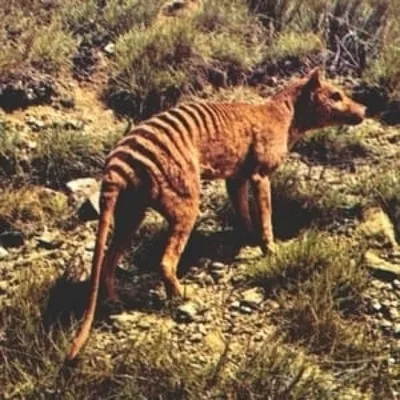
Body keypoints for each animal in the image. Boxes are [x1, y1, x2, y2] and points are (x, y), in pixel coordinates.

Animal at [66, 69, 366, 360]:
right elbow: (265, 217)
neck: (284, 114)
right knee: (165, 261)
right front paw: (270, 248)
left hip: (132, 212)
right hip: (185, 201)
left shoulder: (236, 179)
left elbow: (243, 212)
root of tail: (116, 165)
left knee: (108, 260)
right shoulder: (260, 175)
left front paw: (246, 238)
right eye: (336, 95)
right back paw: (181, 295)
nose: (363, 109)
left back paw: (114, 299)